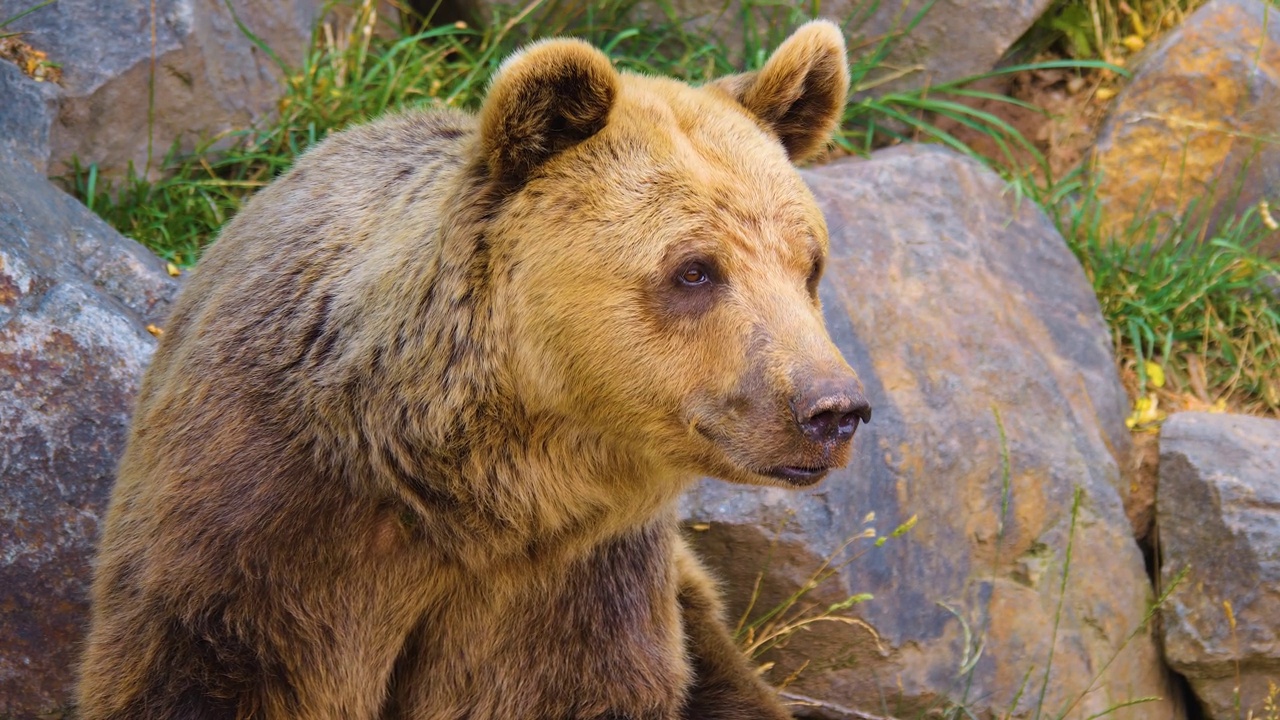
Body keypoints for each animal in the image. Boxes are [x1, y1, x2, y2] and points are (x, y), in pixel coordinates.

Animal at [77, 20, 870, 717]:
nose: (832, 408)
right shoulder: (264, 534)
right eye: (696, 270)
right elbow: (212, 670)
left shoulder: (569, 586)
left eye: (809, 264)